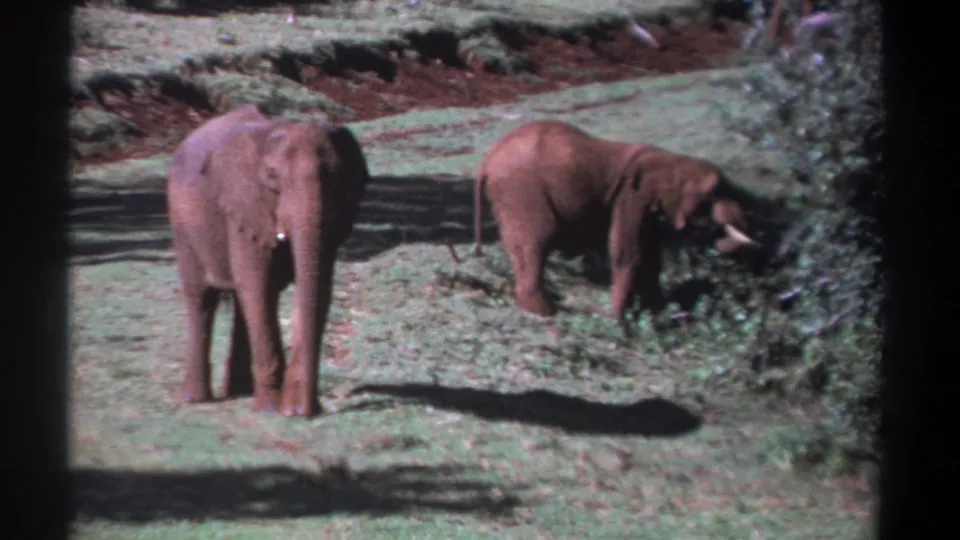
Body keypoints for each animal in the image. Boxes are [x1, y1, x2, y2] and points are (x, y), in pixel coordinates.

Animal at [166, 105, 370, 418]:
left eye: (337, 177)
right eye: (273, 177)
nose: (300, 411)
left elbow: (320, 286)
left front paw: (289, 408)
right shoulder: (244, 205)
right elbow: (257, 285)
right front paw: (273, 408)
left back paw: (241, 391)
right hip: (182, 224)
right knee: (202, 298)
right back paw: (196, 399)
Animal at [473, 119, 757, 323]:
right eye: (712, 195)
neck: (669, 161)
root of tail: (487, 160)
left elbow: (652, 255)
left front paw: (654, 313)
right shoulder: (632, 197)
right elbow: (628, 251)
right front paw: (620, 321)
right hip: (521, 188)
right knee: (537, 239)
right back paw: (542, 313)